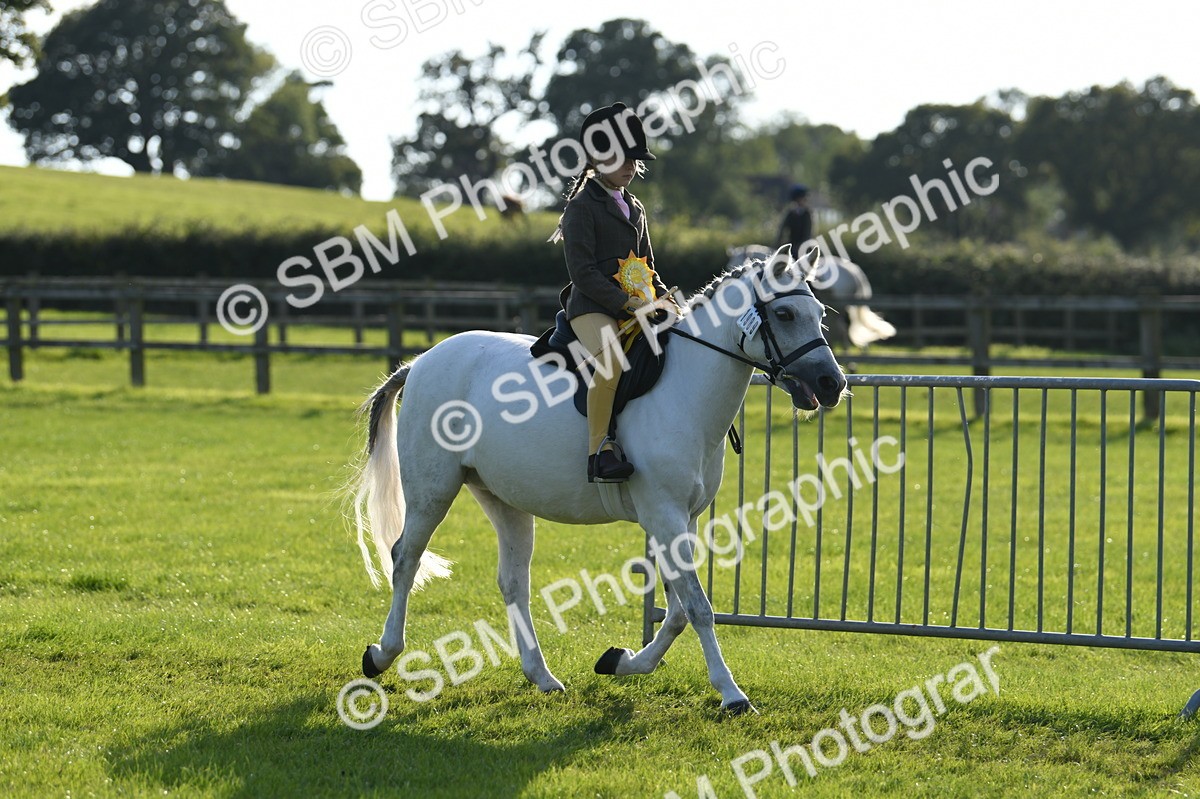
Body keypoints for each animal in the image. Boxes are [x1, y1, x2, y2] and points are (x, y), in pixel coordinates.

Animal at [350, 252, 847, 714]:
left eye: (819, 313)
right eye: (785, 314)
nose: (832, 383)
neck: (685, 391)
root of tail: (420, 362)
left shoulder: (681, 520)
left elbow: (678, 611)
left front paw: (621, 661)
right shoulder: (664, 516)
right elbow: (698, 608)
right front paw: (731, 693)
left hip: (501, 497)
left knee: (513, 581)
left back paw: (542, 676)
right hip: (433, 490)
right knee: (405, 558)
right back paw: (382, 655)